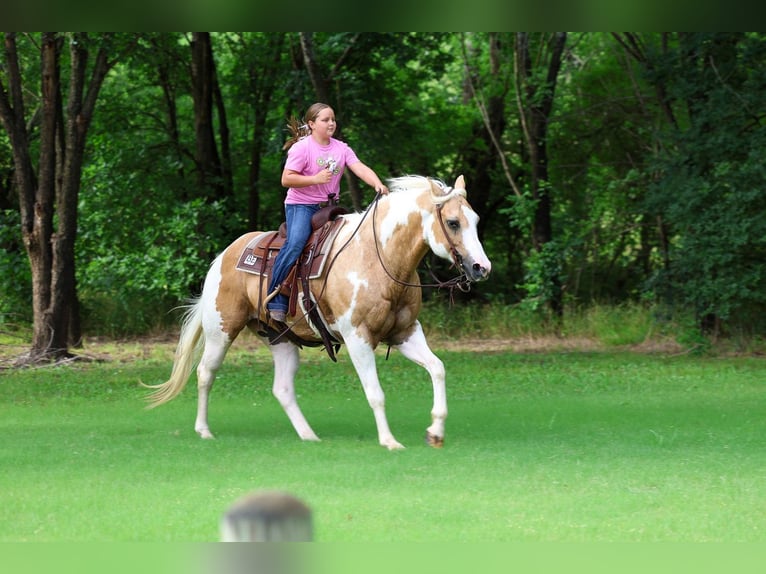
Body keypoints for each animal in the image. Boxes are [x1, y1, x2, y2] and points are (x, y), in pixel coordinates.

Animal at [145, 175, 491, 450]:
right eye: (453, 223)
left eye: (475, 221)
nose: (481, 268)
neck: (379, 257)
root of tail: (225, 255)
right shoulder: (358, 337)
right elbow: (375, 392)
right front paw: (389, 441)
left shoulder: (405, 333)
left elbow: (438, 368)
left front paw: (435, 432)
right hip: (221, 330)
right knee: (206, 372)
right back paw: (204, 430)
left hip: (280, 339)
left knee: (282, 389)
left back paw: (308, 435)